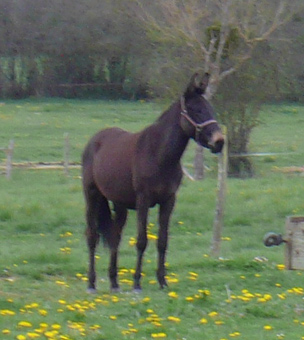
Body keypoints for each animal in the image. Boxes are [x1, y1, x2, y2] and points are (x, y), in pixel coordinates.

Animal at [82, 72, 224, 292]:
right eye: (196, 109)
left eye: (210, 109)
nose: (219, 141)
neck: (158, 155)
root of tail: (94, 140)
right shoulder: (143, 200)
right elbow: (142, 240)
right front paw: (137, 283)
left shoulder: (168, 201)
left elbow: (163, 241)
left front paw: (162, 281)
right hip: (92, 195)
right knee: (92, 236)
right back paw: (91, 282)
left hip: (119, 204)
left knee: (115, 236)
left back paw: (114, 282)